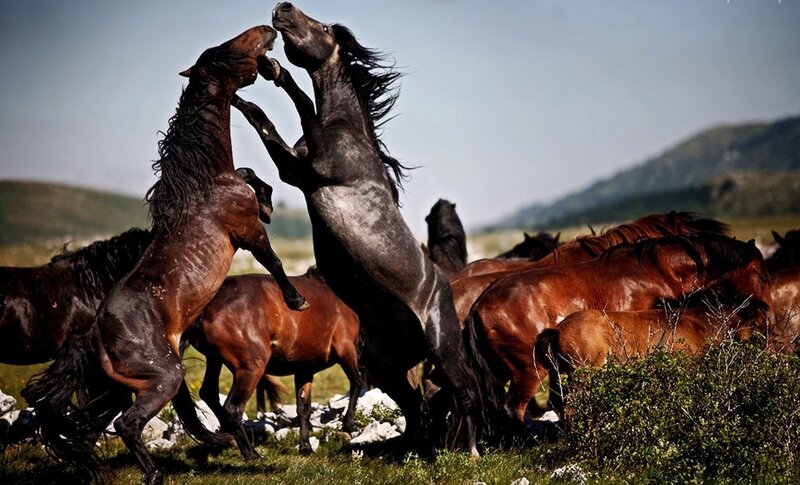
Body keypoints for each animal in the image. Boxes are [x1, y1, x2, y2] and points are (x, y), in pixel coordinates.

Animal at [23, 26, 308, 484]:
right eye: (226, 50)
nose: (267, 31)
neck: (206, 183)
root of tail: (93, 335)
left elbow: (250, 174)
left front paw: (266, 197)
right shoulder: (246, 232)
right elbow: (275, 260)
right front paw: (297, 300)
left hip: (117, 388)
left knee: (87, 427)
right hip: (163, 378)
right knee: (125, 424)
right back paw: (156, 473)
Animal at [184, 267, 362, 457]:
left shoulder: (304, 369)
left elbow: (304, 408)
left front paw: (305, 447)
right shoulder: (346, 349)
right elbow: (356, 383)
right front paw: (348, 426)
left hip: (214, 359)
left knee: (209, 393)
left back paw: (230, 438)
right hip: (250, 369)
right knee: (232, 408)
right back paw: (251, 454)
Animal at [232, 3, 491, 454]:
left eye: (320, 25)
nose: (282, 9)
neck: (346, 130)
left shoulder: (313, 168)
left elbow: (300, 101)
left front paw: (274, 71)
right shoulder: (294, 171)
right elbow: (261, 121)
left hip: (443, 349)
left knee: (465, 394)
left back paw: (470, 452)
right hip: (384, 364)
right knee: (415, 406)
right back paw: (405, 449)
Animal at [462, 233, 773, 428]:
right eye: (762, 275)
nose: (769, 317)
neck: (658, 271)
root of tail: (477, 308)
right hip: (529, 371)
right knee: (513, 410)